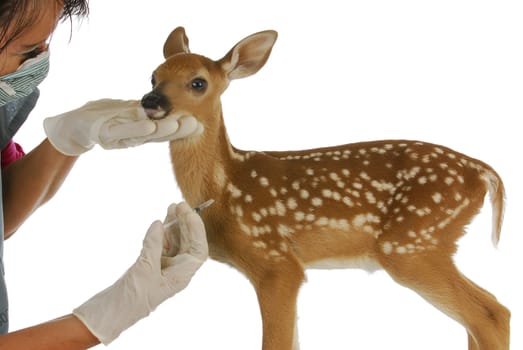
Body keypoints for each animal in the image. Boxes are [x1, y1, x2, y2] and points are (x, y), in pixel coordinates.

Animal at [141, 26, 510, 348]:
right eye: (153, 76)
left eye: (198, 82)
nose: (151, 100)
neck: (227, 184)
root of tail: (483, 171)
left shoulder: (276, 261)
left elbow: (276, 342)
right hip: (430, 242)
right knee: (484, 313)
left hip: (412, 242)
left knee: (491, 314)